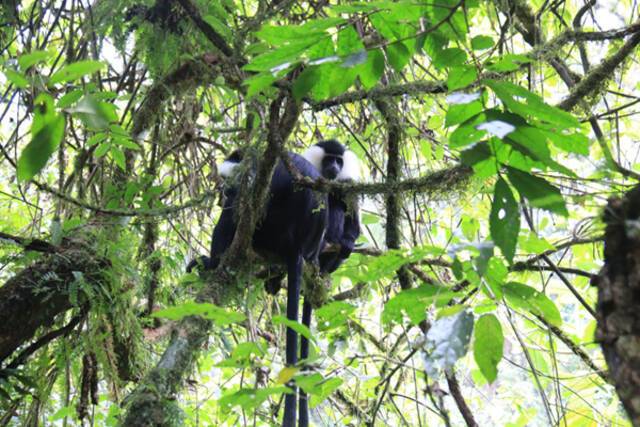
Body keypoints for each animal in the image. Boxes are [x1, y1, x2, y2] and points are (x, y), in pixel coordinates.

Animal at [189, 140, 360, 427]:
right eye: (332, 161)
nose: (222, 187)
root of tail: (298, 246)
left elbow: (237, 209)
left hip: (270, 231)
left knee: (234, 214)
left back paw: (213, 264)